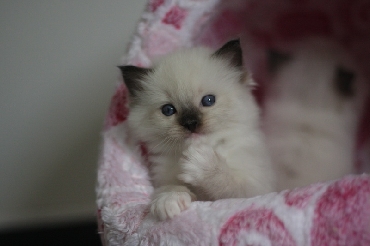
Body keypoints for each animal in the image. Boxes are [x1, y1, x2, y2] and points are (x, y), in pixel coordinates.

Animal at [118, 39, 274, 220]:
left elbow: (228, 182)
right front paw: (168, 202)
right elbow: (170, 188)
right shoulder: (165, 179)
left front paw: (201, 164)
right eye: (168, 110)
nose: (191, 123)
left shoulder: (256, 191)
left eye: (208, 100)